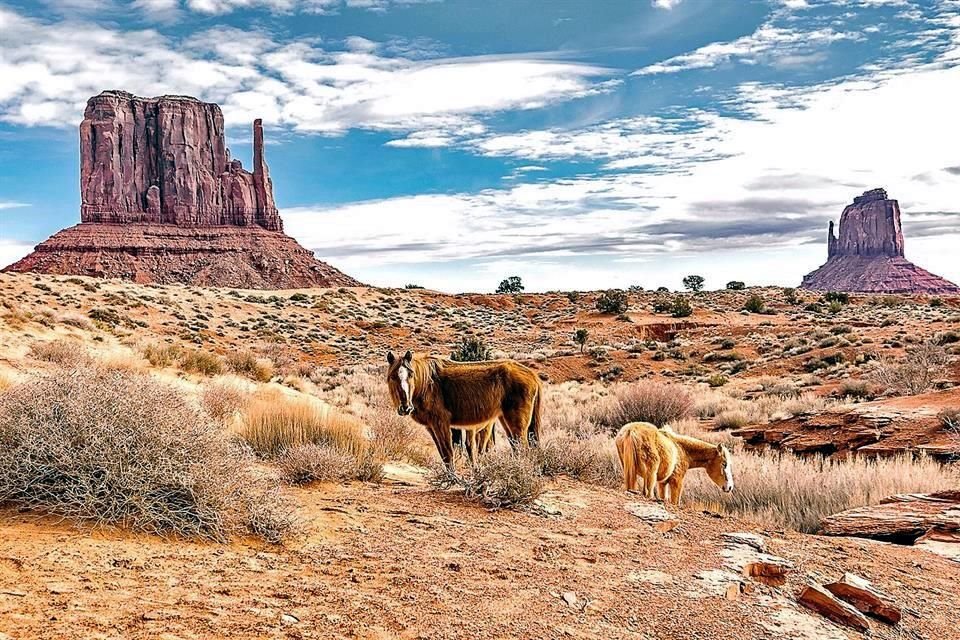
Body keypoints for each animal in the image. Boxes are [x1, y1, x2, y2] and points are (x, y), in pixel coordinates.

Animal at [388, 352, 540, 468]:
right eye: (393, 376)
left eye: (411, 375)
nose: (406, 407)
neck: (427, 384)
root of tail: (533, 375)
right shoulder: (431, 427)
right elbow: (444, 454)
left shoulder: (441, 424)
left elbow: (449, 453)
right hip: (505, 422)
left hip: (516, 426)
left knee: (522, 449)